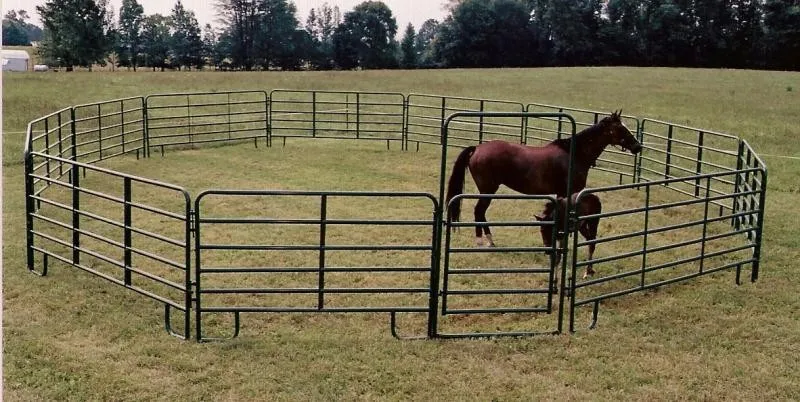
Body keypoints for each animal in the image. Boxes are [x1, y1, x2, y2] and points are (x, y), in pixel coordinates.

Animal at [446, 111, 640, 247]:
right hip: (488, 190)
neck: (574, 154)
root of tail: (477, 149)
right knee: (479, 211)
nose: (638, 146)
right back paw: (483, 241)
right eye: (621, 128)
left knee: (481, 212)